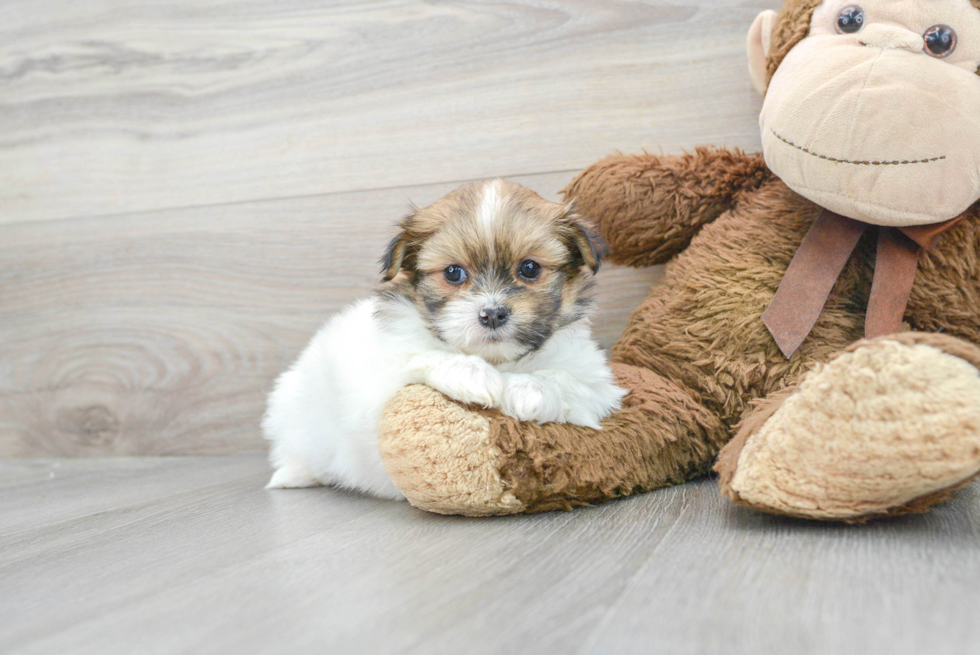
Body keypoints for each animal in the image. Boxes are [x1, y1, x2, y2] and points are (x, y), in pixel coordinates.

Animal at [262, 178, 628, 498]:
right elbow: (424, 355)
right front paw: (473, 374)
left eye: (530, 268)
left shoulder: (597, 385)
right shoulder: (378, 384)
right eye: (453, 272)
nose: (493, 313)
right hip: (294, 408)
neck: (500, 360)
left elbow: (567, 380)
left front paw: (528, 390)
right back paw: (293, 476)